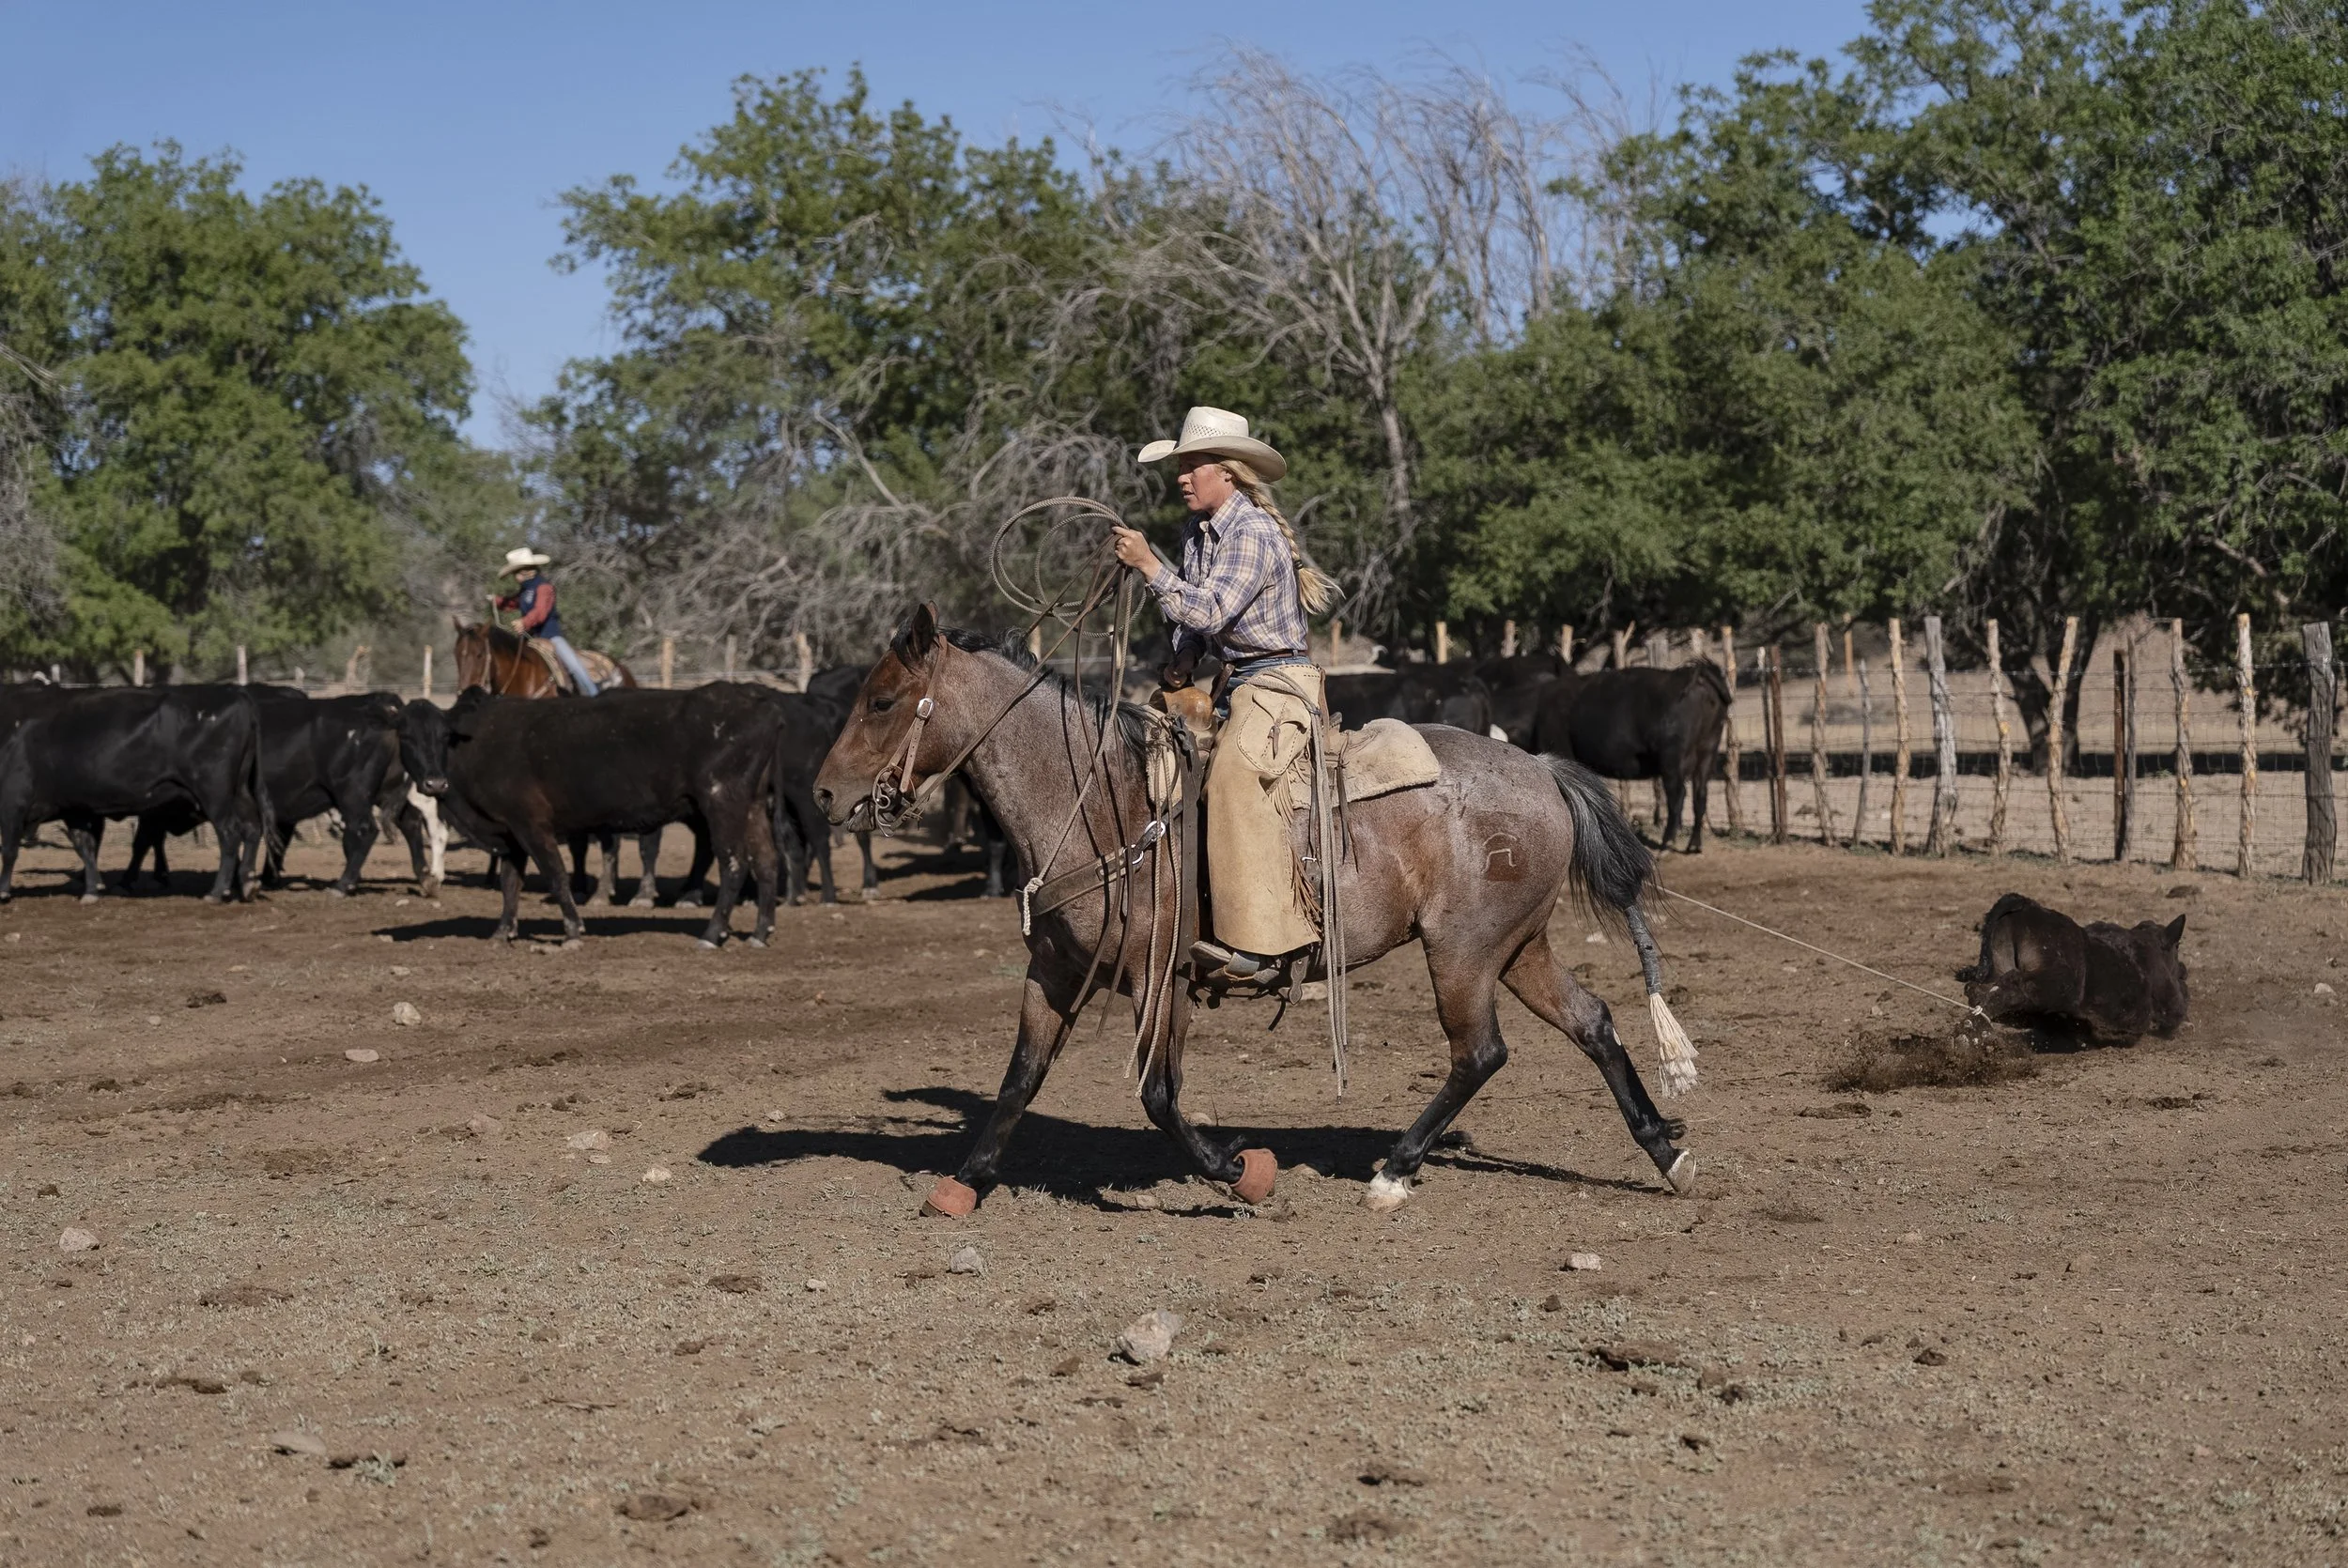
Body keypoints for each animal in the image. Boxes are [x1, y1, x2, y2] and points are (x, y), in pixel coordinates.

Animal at [814, 606, 1698, 1216]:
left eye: (884, 700)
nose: (825, 793)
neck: (1100, 803)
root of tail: (1545, 769)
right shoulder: (1056, 971)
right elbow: (1019, 1079)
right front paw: (963, 1185)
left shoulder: (1160, 981)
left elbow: (1159, 1096)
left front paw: (1244, 1172)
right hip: (1516, 947)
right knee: (1590, 1020)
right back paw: (1666, 1151)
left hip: (1464, 952)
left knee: (1479, 1052)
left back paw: (1392, 1173)